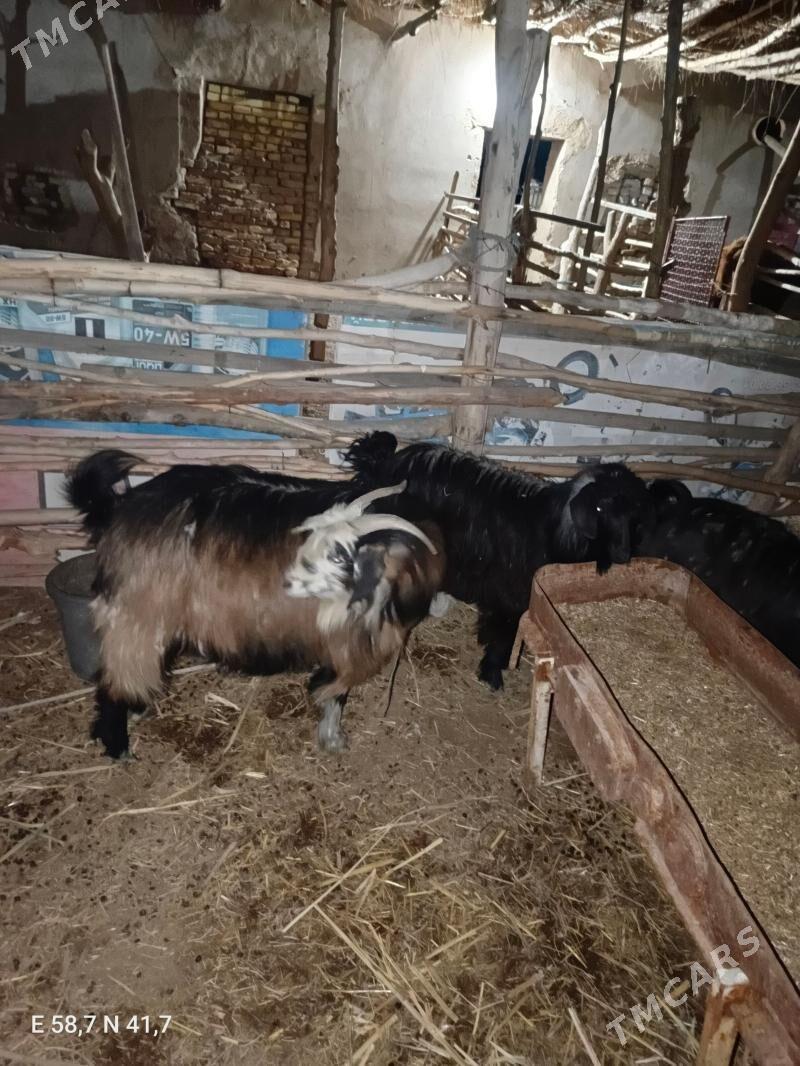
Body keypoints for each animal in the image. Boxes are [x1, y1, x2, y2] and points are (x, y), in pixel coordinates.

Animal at [66, 450, 444, 759]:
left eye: (339, 554)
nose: (288, 583)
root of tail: (118, 507)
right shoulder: (347, 641)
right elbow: (335, 690)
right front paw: (333, 736)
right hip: (139, 613)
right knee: (115, 676)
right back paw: (117, 743)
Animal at [346, 432, 652, 690]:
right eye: (599, 508)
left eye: (634, 512)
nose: (623, 555)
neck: (554, 530)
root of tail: (385, 462)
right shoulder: (513, 594)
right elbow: (504, 634)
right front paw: (492, 672)